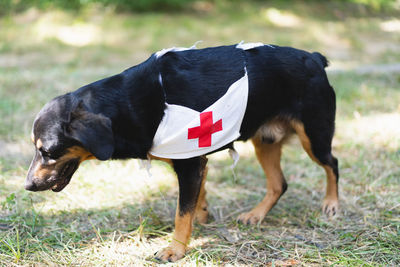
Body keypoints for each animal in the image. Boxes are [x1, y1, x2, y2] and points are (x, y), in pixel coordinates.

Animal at [24, 43, 338, 262]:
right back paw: (256, 215)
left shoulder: (189, 164)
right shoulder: (196, 158)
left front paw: (175, 249)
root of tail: (314, 58)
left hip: (315, 137)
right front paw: (201, 216)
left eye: (49, 151)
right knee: (278, 184)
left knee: (331, 164)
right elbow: (197, 198)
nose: (27, 185)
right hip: (266, 141)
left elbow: (181, 212)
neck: (129, 104)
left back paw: (331, 204)